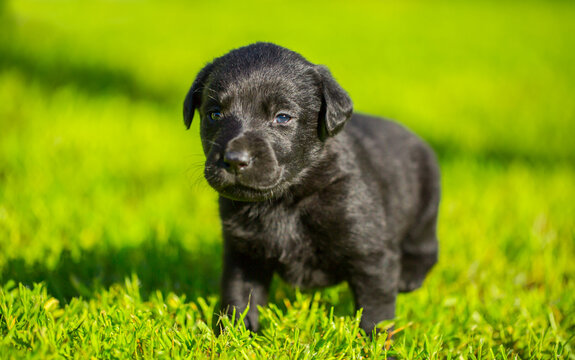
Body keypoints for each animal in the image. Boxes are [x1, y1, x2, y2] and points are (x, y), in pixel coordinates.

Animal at [184, 42, 440, 334]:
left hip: (425, 210)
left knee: (427, 248)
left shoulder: (371, 253)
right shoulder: (243, 253)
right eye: (215, 114)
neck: (284, 202)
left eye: (282, 117)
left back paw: (409, 276)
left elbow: (377, 307)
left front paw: (375, 340)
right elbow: (240, 294)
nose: (235, 159)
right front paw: (235, 334)